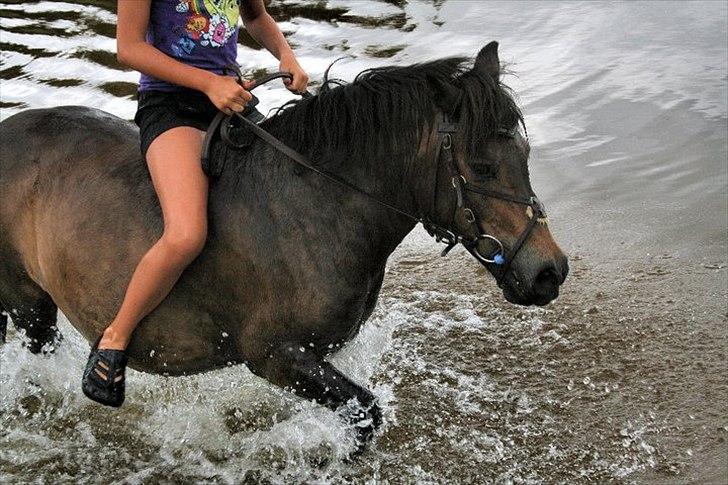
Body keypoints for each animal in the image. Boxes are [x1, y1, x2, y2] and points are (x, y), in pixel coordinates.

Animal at [0, 41, 568, 446]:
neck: (318, 203)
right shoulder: (274, 354)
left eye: (523, 154)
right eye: (484, 167)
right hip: (29, 303)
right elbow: (366, 414)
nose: (550, 272)